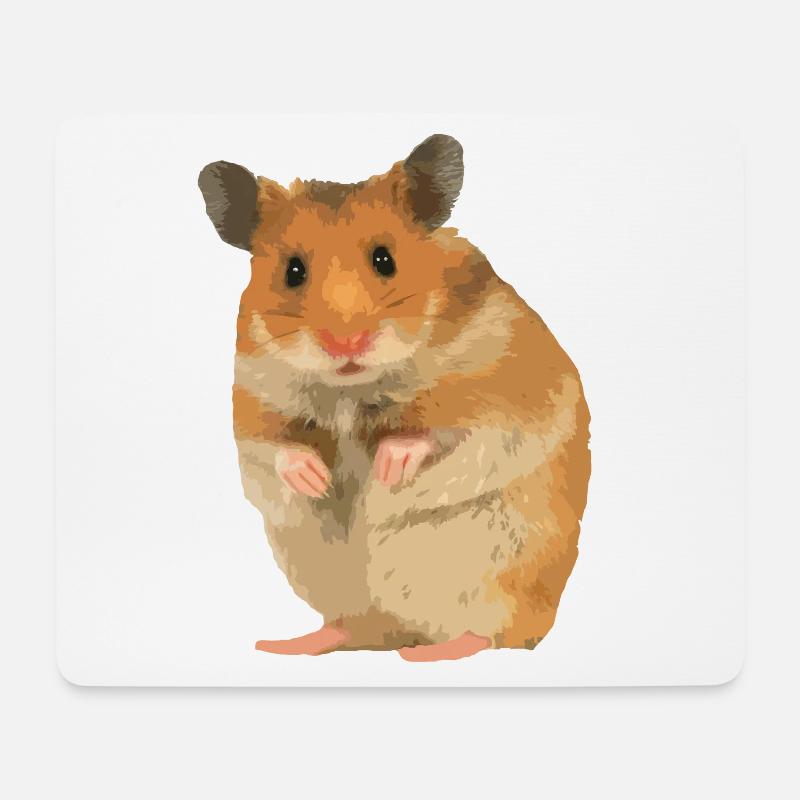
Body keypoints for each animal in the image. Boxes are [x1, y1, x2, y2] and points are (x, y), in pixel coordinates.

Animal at [198, 134, 591, 661]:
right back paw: (283, 644)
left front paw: (387, 468)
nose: (345, 344)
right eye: (292, 271)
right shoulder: (252, 401)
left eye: (385, 259)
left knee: (493, 635)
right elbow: (275, 448)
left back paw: (427, 653)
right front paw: (316, 480)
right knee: (354, 628)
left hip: (496, 576)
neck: (352, 387)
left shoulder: (502, 396)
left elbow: (443, 433)